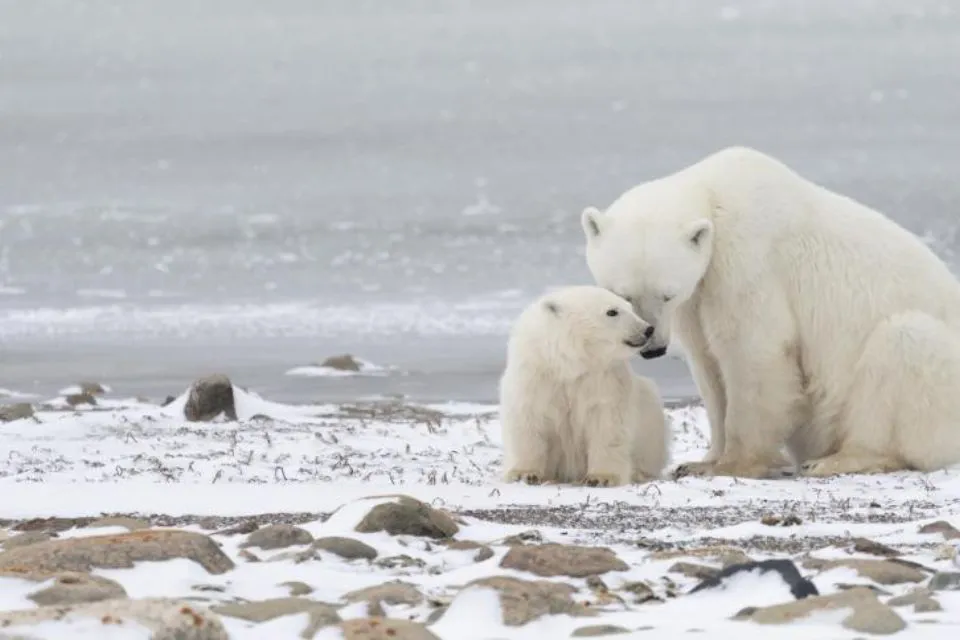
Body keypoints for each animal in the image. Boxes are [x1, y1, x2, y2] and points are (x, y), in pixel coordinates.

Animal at [499, 285, 670, 487]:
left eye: (629, 307)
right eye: (612, 311)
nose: (648, 329)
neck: (569, 364)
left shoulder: (603, 380)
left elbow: (607, 424)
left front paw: (602, 477)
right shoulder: (536, 376)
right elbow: (528, 421)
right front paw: (524, 474)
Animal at [581, 146, 960, 479]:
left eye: (667, 294)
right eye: (622, 295)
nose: (652, 346)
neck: (714, 194)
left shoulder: (746, 262)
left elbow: (753, 353)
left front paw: (733, 464)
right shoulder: (698, 297)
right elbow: (708, 365)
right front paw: (700, 462)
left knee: (903, 343)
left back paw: (836, 459)